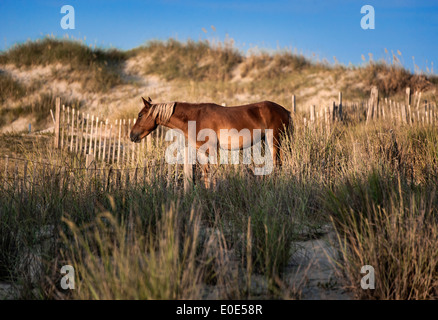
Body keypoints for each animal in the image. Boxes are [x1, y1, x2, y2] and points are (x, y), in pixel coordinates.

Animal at [131, 97, 290, 174]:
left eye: (140, 115)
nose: (132, 135)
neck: (195, 117)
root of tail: (284, 109)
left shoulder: (211, 149)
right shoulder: (202, 152)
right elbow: (206, 171)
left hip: (273, 141)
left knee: (276, 163)